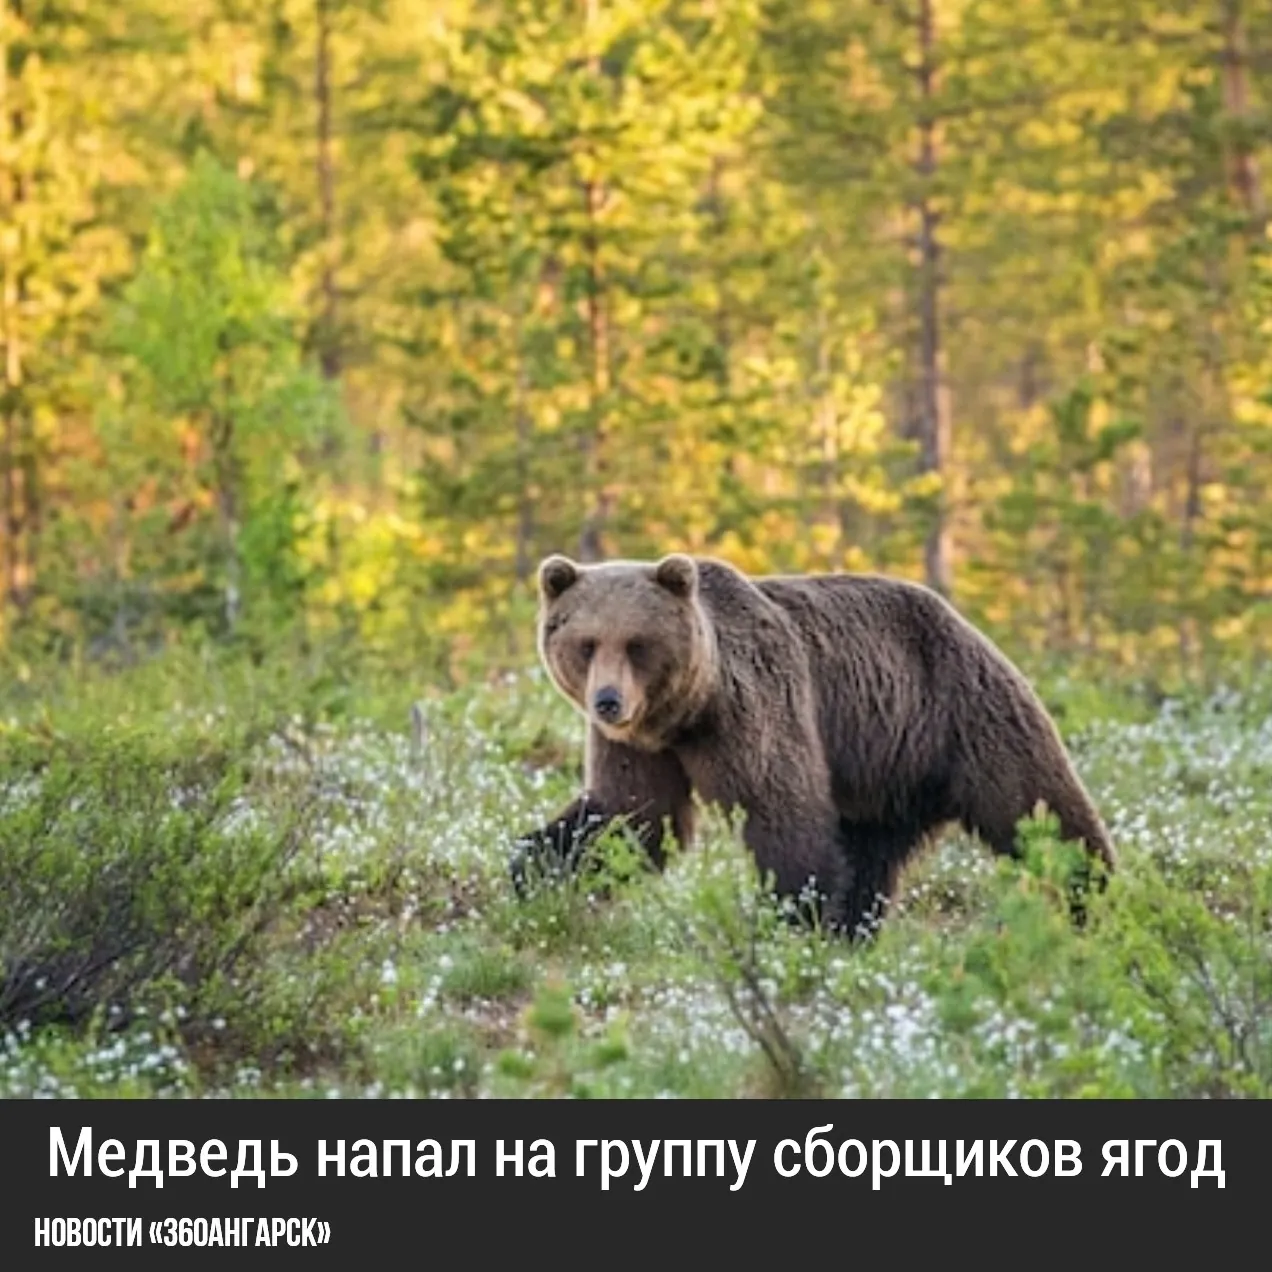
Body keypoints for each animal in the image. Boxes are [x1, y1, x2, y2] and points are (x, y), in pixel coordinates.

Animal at [509, 552, 1115, 937]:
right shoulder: (644, 747)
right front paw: (533, 869)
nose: (608, 701)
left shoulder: (755, 707)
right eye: (587, 644)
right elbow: (632, 817)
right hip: (884, 773)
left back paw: (1094, 897)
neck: (686, 714)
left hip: (962, 716)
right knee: (870, 856)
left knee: (1039, 811)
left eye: (637, 643)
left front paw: (796, 916)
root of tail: (968, 625)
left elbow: (781, 810)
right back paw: (854, 930)